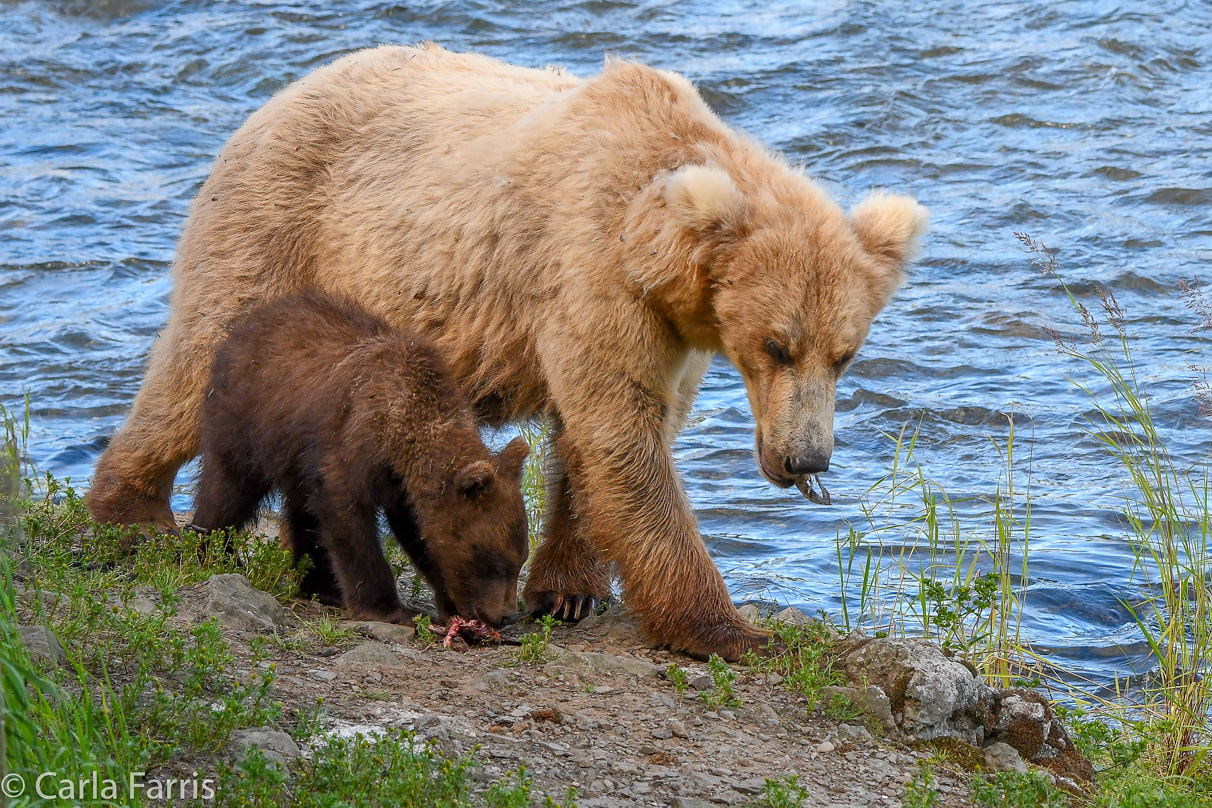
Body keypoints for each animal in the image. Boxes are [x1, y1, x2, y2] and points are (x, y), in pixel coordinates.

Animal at [87, 44, 925, 658]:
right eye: (776, 345)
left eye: (845, 354)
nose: (805, 458)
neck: (654, 247)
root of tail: (272, 99)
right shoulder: (590, 272)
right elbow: (626, 442)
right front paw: (730, 629)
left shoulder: (665, 331)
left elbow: (597, 444)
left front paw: (568, 588)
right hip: (281, 225)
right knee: (195, 358)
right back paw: (131, 508)